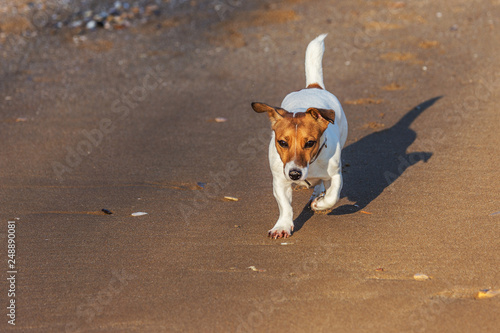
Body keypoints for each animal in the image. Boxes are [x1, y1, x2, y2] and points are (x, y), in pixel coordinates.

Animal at [252, 33, 346, 237]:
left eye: (310, 143)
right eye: (282, 142)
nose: (295, 174)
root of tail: (313, 86)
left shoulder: (335, 174)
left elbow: (333, 195)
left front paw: (320, 203)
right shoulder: (280, 181)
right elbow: (285, 206)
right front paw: (282, 226)